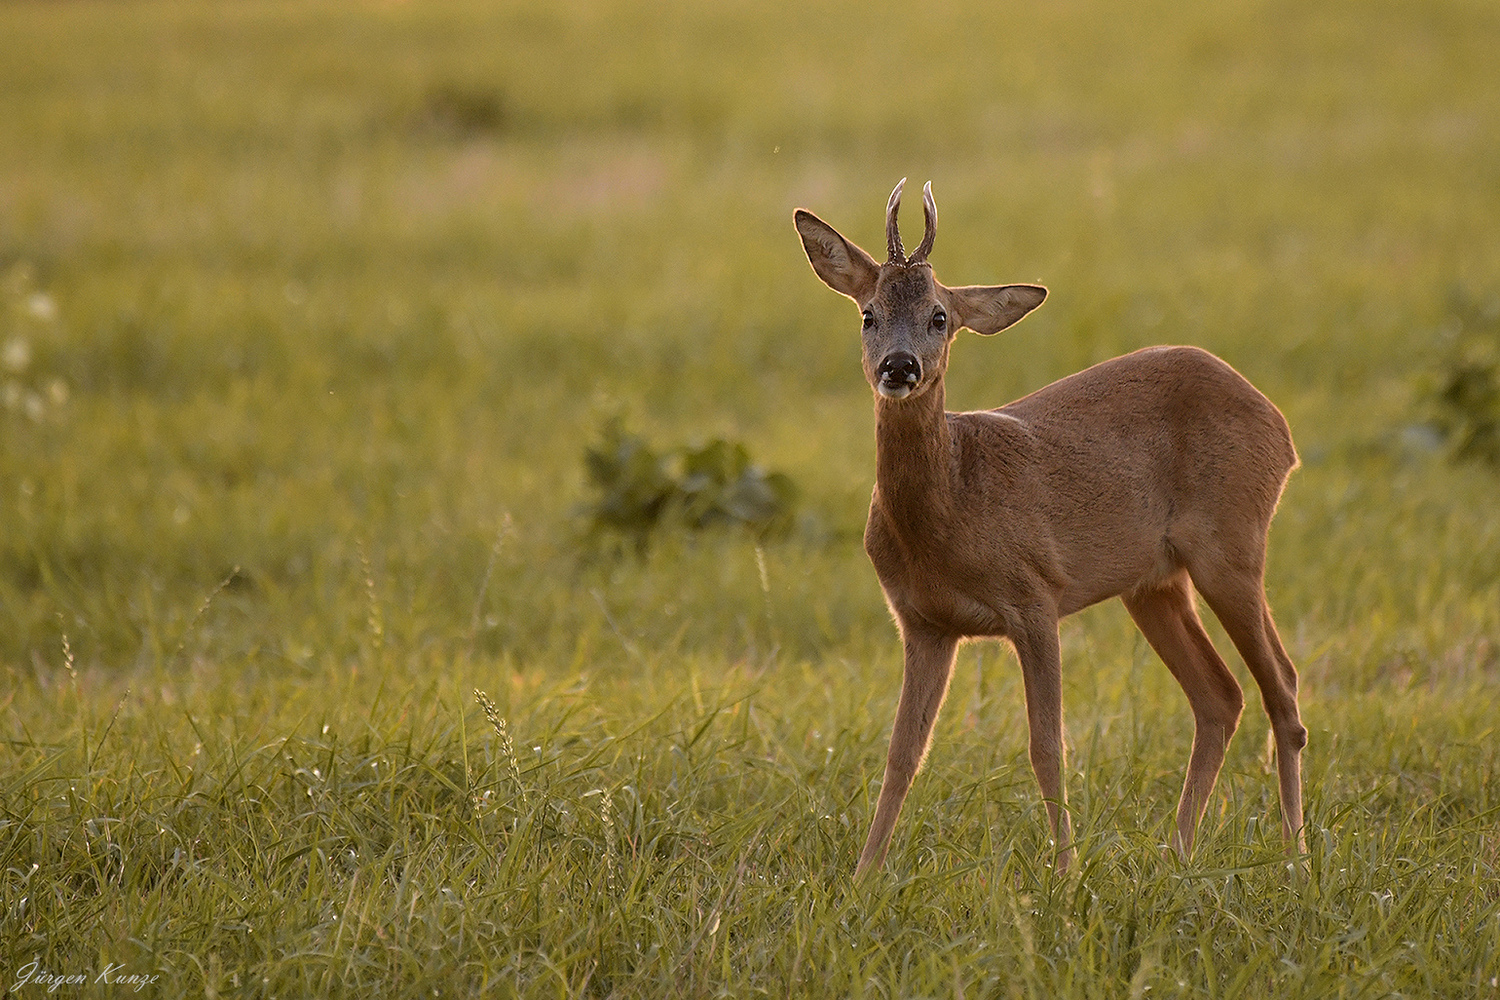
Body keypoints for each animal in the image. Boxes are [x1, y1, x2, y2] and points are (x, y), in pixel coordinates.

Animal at [792, 179, 1308, 875]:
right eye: (867, 313)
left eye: (940, 317)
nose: (899, 367)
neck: (951, 508)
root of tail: (1279, 426)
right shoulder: (923, 623)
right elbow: (902, 756)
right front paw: (864, 877)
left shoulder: (1035, 595)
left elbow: (1047, 747)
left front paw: (1064, 873)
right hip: (1153, 583)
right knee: (1221, 696)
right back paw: (1178, 855)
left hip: (1232, 544)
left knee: (1282, 686)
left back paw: (1296, 855)